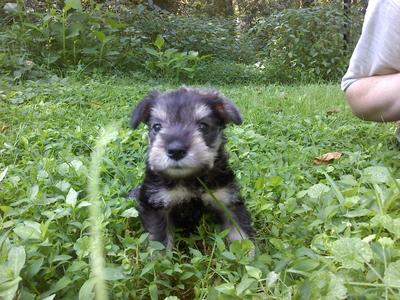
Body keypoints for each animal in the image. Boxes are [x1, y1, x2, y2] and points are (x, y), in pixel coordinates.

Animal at [130, 88, 253, 250]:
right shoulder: (157, 207)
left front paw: (249, 255)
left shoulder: (229, 202)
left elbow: (241, 234)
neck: (190, 178)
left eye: (203, 126)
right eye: (157, 126)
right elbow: (160, 241)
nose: (175, 151)